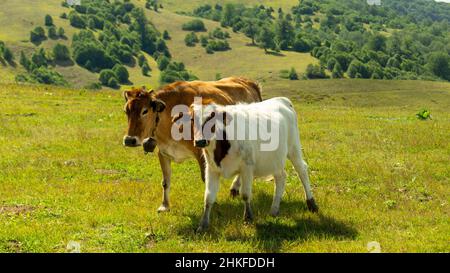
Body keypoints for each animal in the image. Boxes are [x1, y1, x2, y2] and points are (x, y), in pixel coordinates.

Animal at [123, 77, 264, 211]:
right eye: (126, 111)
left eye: (145, 111)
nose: (129, 140)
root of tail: (250, 82)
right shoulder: (163, 152)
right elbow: (165, 181)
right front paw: (164, 205)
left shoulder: (201, 152)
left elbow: (206, 179)